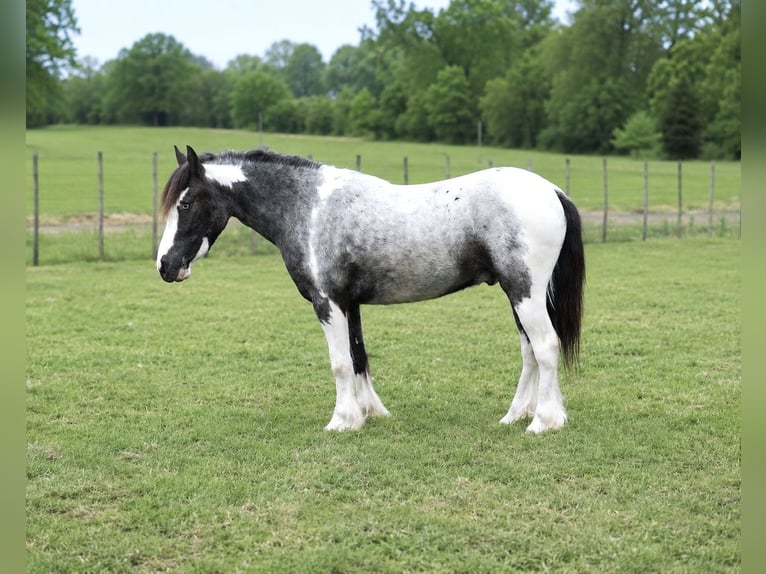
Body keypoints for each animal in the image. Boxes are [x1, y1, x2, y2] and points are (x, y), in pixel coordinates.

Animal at [156, 145, 585, 434]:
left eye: (186, 203)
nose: (164, 265)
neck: (309, 208)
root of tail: (552, 191)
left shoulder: (327, 302)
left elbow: (340, 361)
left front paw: (343, 420)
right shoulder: (350, 304)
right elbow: (359, 356)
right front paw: (370, 413)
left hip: (525, 293)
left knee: (545, 346)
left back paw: (544, 422)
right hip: (517, 295)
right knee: (530, 353)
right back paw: (517, 415)